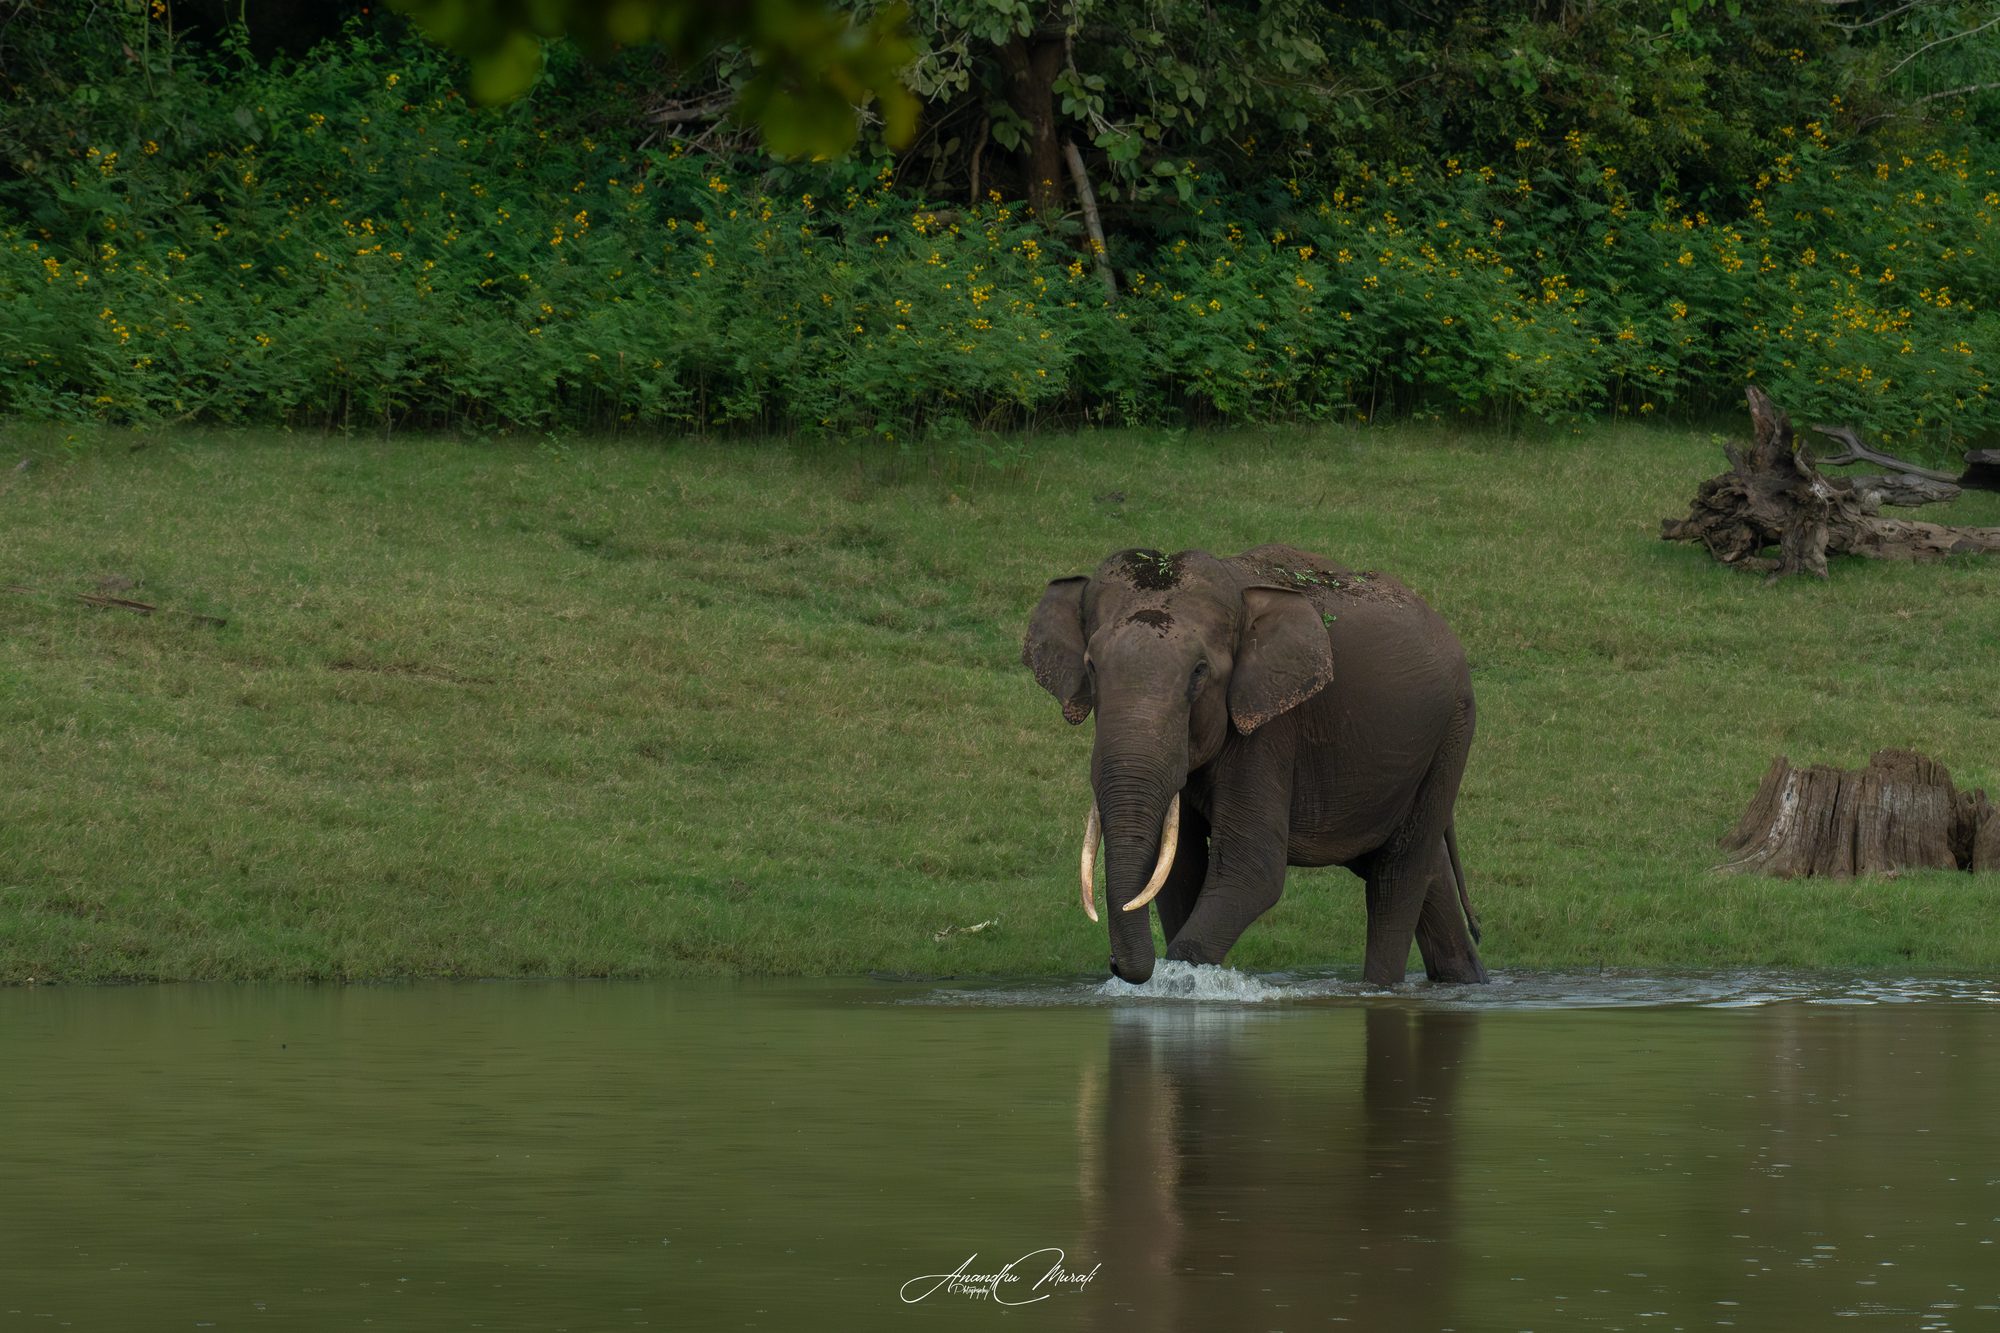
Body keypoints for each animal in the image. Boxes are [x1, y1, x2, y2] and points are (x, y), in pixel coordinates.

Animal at [1022, 544, 1487, 987]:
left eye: (1199, 672)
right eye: (1091, 666)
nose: (1114, 963)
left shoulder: (1269, 729)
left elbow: (1252, 869)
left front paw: (1182, 976)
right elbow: (1179, 869)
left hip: (1451, 735)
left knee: (1398, 875)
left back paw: (1379, 987)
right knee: (1424, 872)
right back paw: (1465, 980)